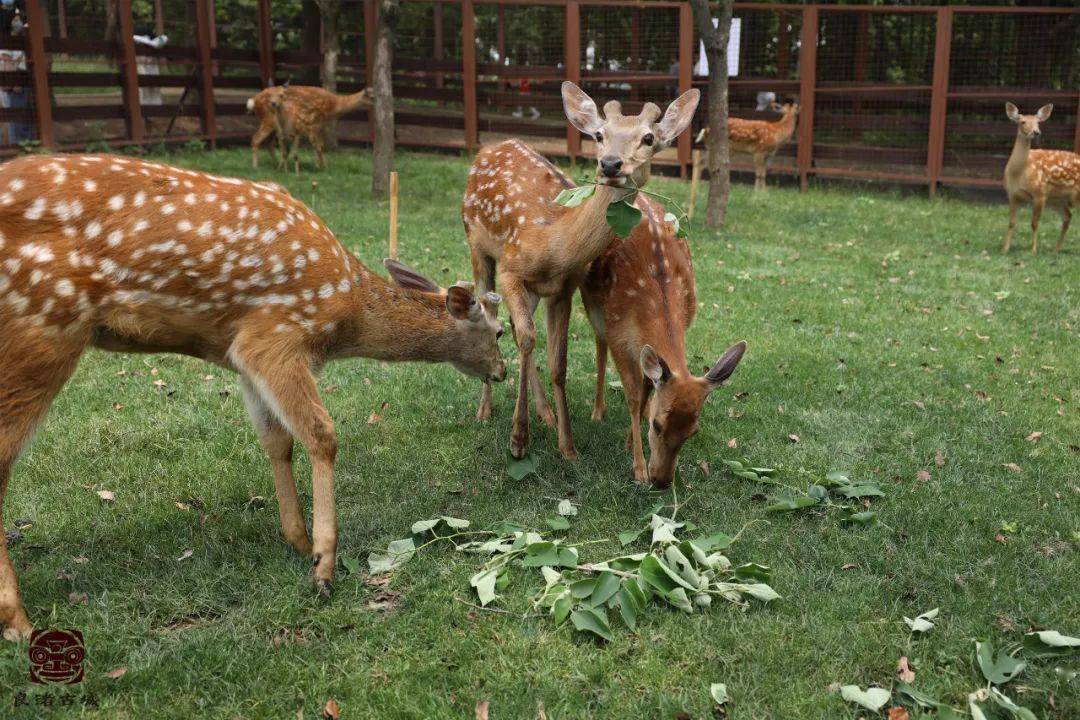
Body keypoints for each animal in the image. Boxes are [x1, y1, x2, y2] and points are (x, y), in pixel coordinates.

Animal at [0, 153, 505, 643]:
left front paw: (298, 539)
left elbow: (277, 441)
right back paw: (18, 620)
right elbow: (321, 435)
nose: (501, 371)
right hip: (42, 327)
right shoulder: (275, 335)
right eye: (499, 331)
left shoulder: (242, 357)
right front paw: (323, 564)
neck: (346, 314)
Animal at [583, 194, 743, 487]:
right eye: (658, 425)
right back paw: (598, 411)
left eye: (693, 431)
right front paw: (638, 469)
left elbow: (648, 386)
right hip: (593, 307)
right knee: (599, 347)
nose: (662, 480)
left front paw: (629, 439)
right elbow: (633, 397)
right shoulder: (618, 333)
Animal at [1002, 102, 1080, 254]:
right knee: (1067, 217)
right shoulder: (1012, 194)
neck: (1019, 173)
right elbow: (1012, 222)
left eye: (1038, 122)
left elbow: (1034, 223)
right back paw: (1056, 249)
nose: (1036, 132)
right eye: (1022, 122)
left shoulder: (1040, 193)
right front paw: (1005, 248)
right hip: (1056, 199)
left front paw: (1033, 250)